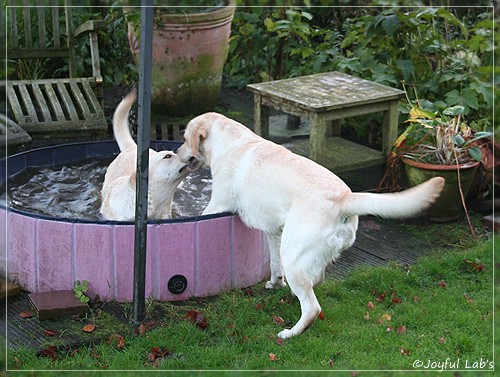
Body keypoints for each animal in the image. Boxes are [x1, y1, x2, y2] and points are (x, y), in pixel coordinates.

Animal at [177, 111, 446, 338]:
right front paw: (274, 284)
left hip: (293, 255)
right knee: (314, 282)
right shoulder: (272, 231)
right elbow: (273, 264)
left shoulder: (216, 205)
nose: (177, 153)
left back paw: (290, 333)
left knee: (312, 307)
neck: (232, 142)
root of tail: (344, 198)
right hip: (298, 251)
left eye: (184, 138)